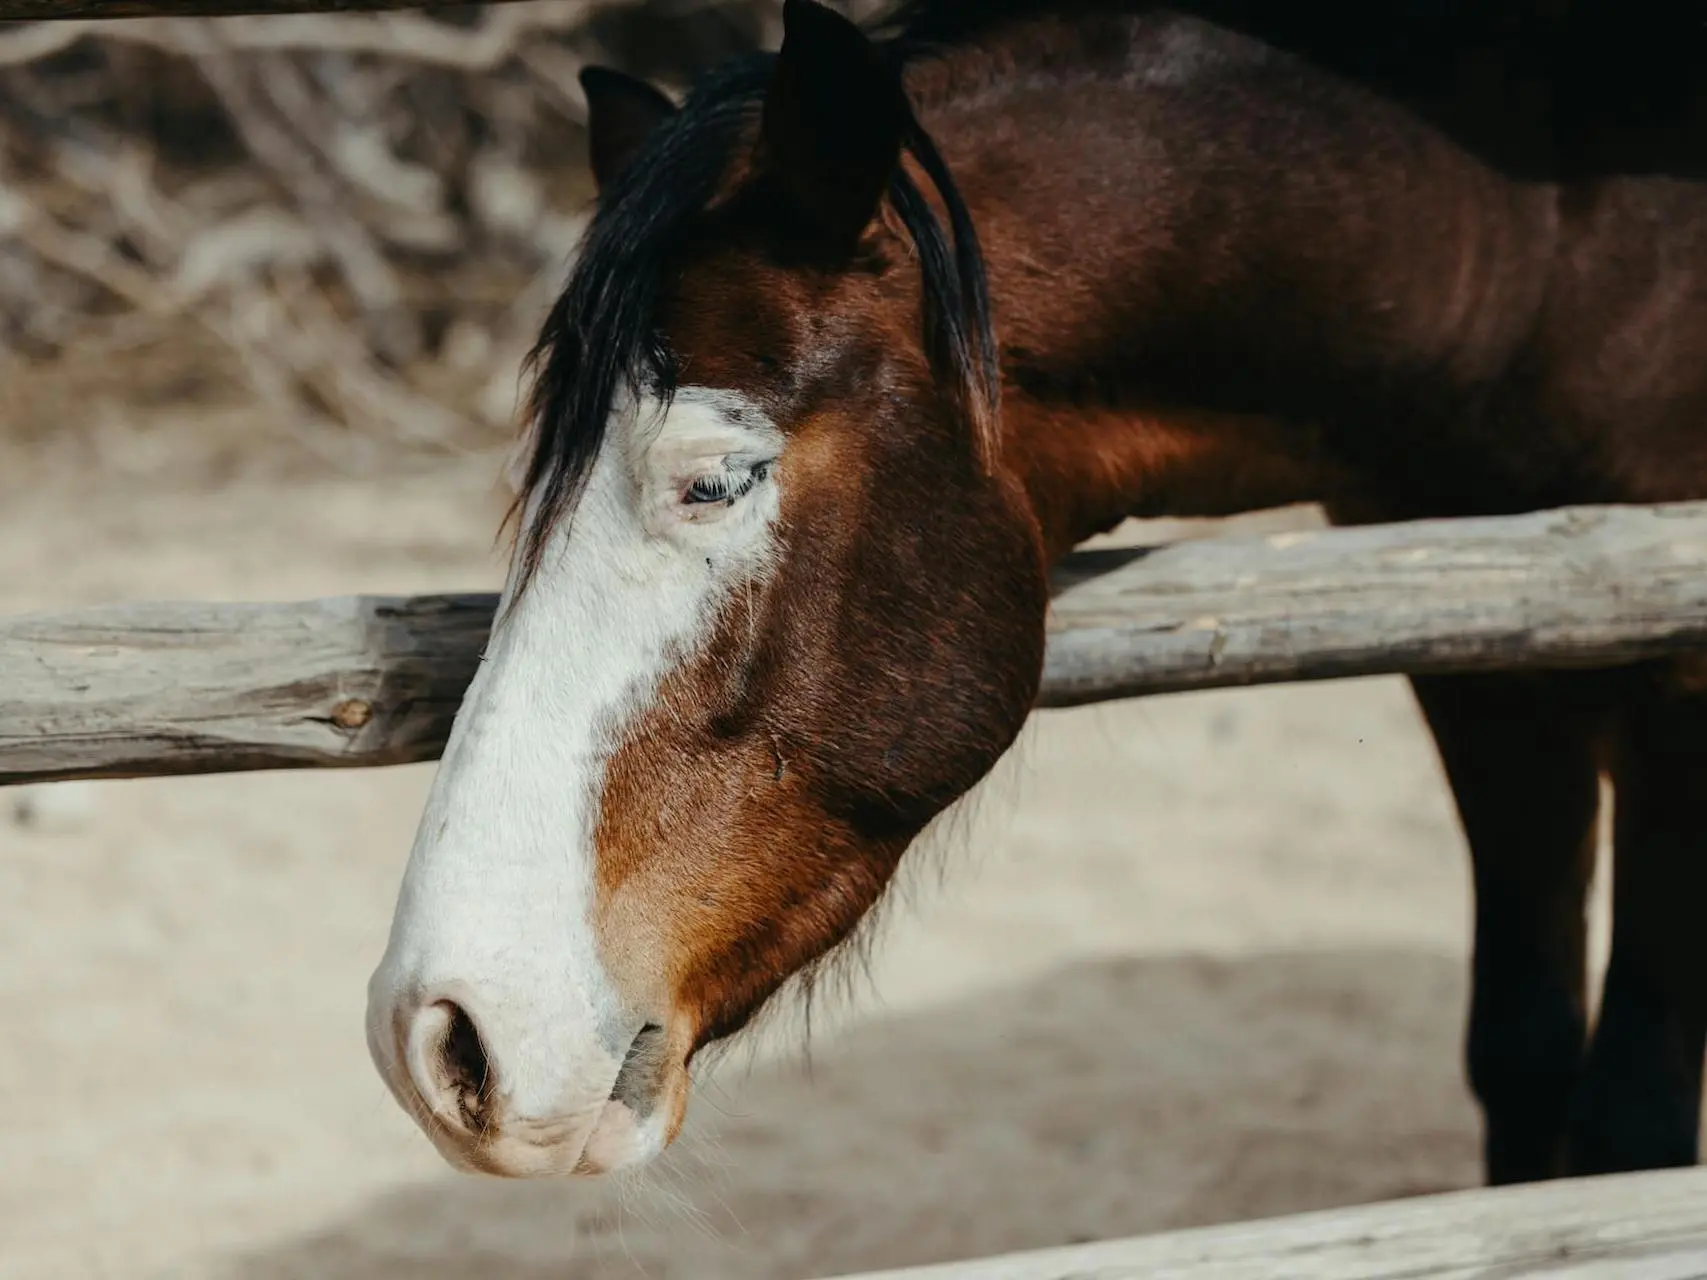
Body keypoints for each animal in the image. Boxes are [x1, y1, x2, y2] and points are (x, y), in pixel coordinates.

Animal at [360, 0, 1707, 1187]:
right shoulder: (1493, 672)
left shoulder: (1668, 686)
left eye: (716, 478)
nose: (442, 1039)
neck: (1542, 229)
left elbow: (1634, 1116)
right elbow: (1524, 1055)